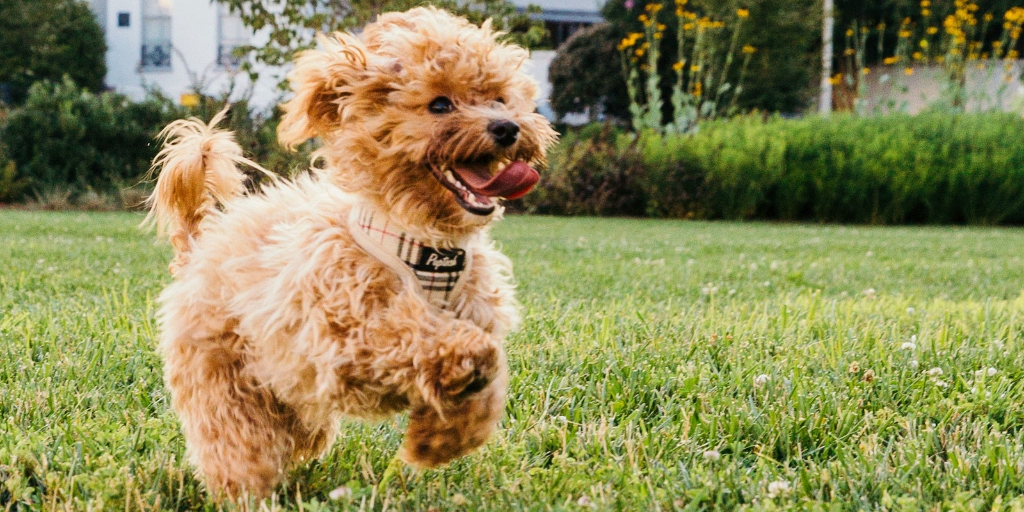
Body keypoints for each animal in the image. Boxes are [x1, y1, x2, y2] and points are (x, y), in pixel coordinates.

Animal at [143, 6, 557, 497]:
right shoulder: (343, 336)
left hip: (287, 397)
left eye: (499, 98)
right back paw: (246, 492)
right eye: (439, 104)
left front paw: (437, 441)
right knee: (238, 445)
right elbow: (419, 336)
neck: (425, 247)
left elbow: (486, 388)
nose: (507, 127)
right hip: (224, 380)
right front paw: (460, 358)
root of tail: (201, 245)